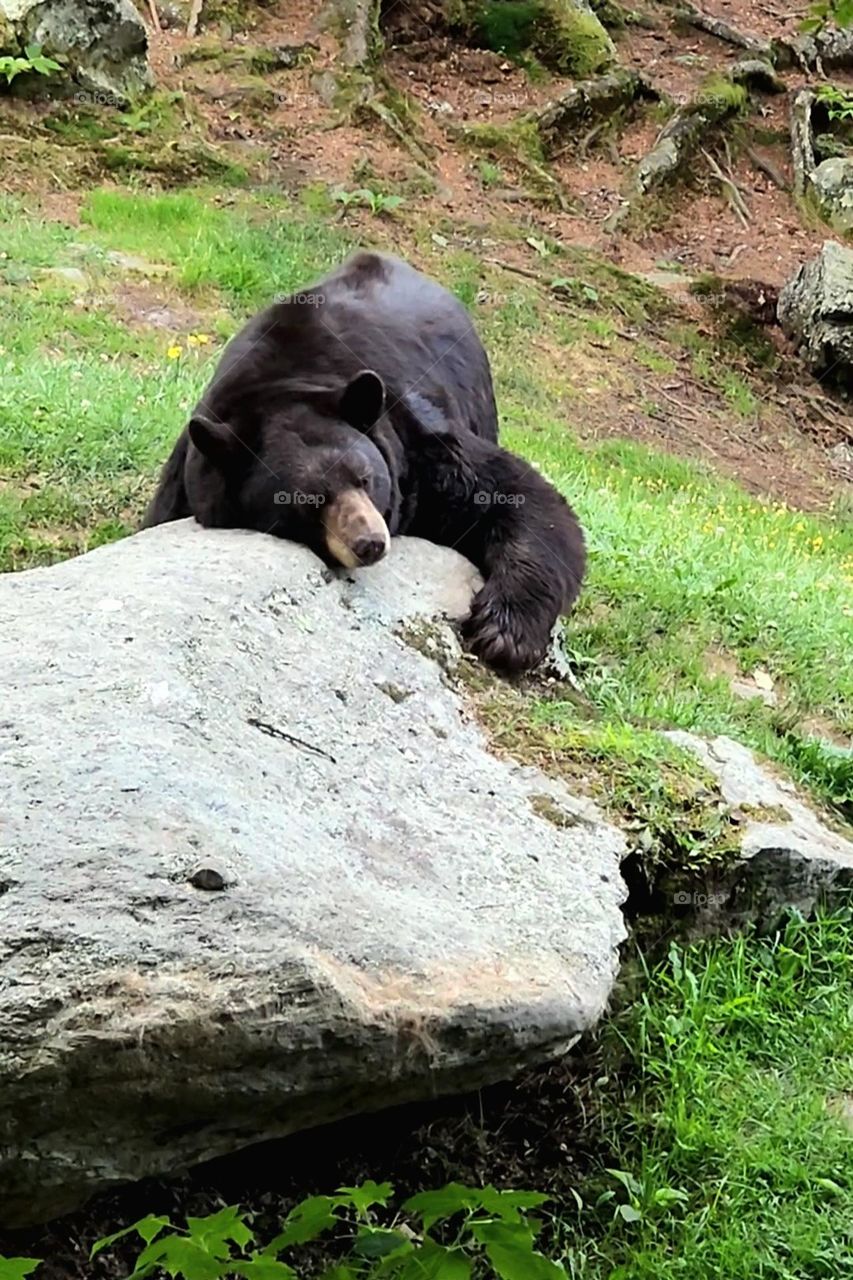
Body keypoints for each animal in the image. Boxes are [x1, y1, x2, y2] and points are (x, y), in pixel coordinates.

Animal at [142, 250, 586, 673]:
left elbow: (515, 495)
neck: (287, 380)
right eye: (307, 502)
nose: (369, 542)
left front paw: (504, 633)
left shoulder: (415, 446)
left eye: (366, 478)